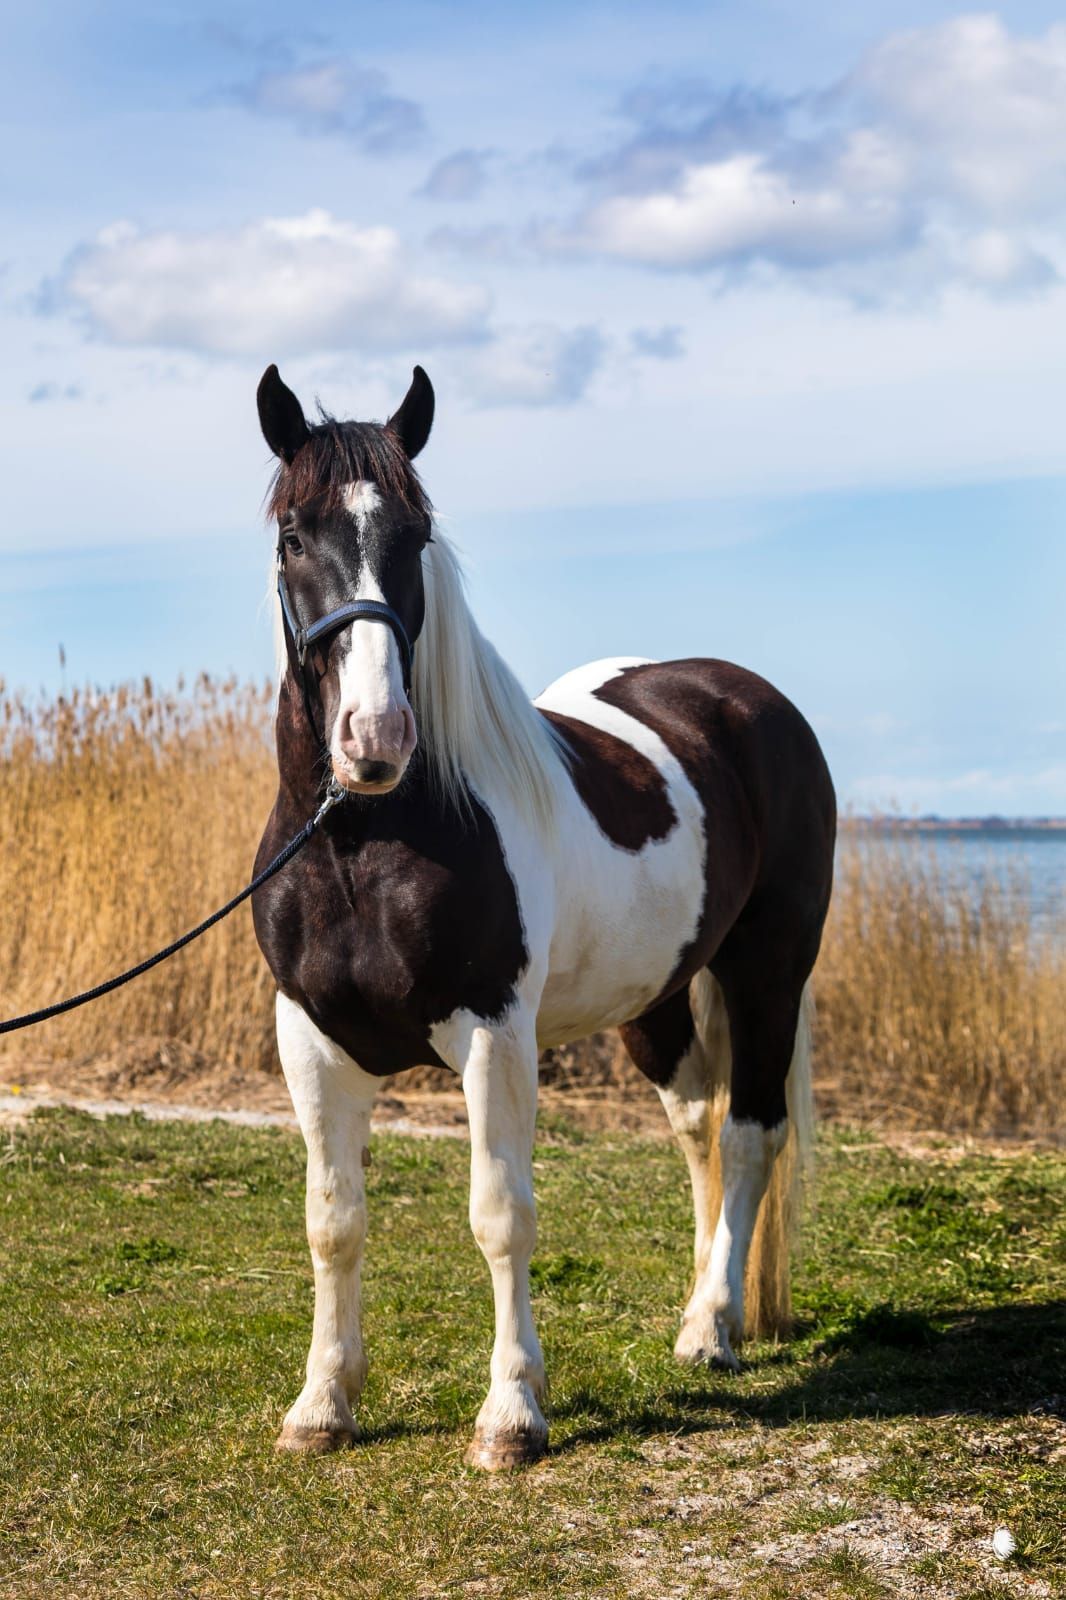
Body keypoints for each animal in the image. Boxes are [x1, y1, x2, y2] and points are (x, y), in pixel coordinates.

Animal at [252, 362, 836, 1470]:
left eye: (415, 535)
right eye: (293, 536)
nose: (374, 737)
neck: (363, 843)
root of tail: (748, 699)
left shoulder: (494, 1033)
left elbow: (500, 1215)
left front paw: (512, 1414)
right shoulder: (311, 1039)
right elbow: (330, 1220)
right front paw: (321, 1404)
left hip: (767, 971)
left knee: (749, 1135)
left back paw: (715, 1329)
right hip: (657, 1001)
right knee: (699, 1127)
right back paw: (700, 1309)